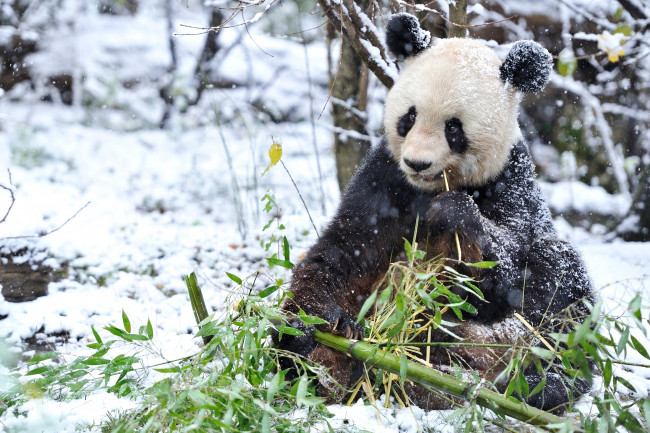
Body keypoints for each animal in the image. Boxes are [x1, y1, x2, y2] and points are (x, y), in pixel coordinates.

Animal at [274, 12, 592, 412]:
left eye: (454, 128)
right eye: (408, 117)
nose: (417, 162)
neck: (433, 187)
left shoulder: (511, 182)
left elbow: (503, 272)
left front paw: (452, 214)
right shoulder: (384, 180)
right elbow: (345, 250)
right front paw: (322, 319)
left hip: (519, 339)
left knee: (560, 282)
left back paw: (539, 384)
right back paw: (305, 349)